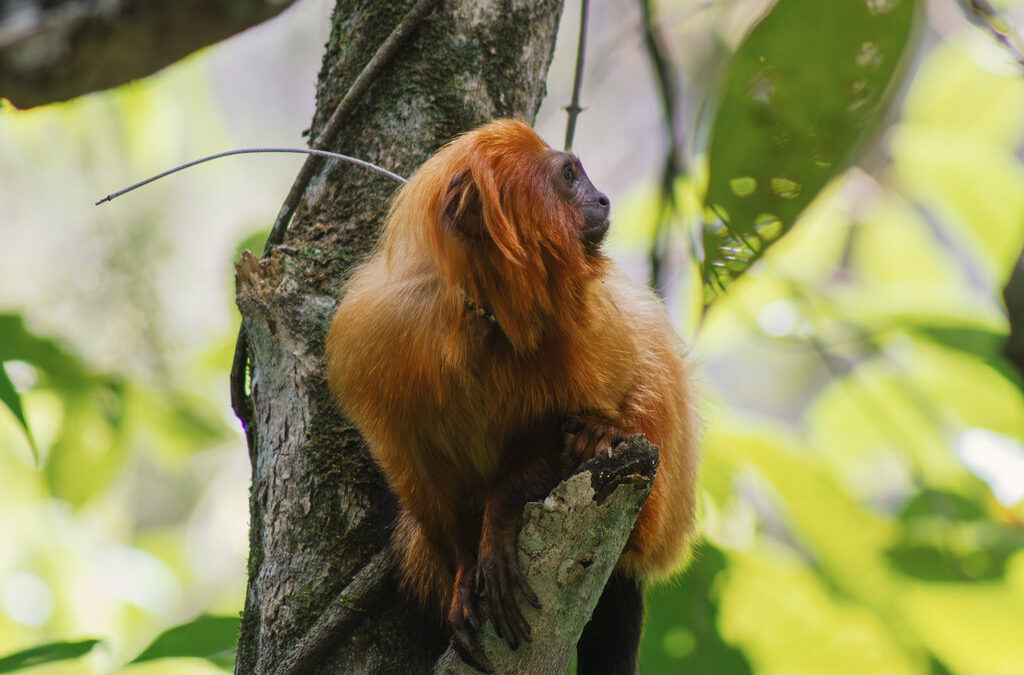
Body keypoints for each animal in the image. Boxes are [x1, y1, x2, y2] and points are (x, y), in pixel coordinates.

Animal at [325, 118, 699, 674]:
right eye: (570, 176)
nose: (604, 199)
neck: (484, 314)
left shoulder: (585, 321)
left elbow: (616, 392)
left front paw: (502, 515)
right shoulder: (374, 337)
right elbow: (412, 467)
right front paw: (465, 568)